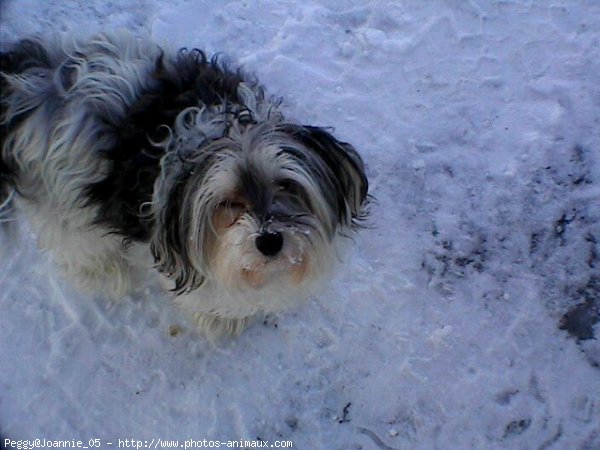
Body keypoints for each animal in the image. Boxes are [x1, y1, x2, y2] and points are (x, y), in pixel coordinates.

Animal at [0, 32, 368, 334]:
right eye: (227, 202)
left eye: (286, 185)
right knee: (74, 244)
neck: (226, 132)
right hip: (63, 197)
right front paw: (221, 318)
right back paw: (107, 273)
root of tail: (29, 78)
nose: (269, 241)